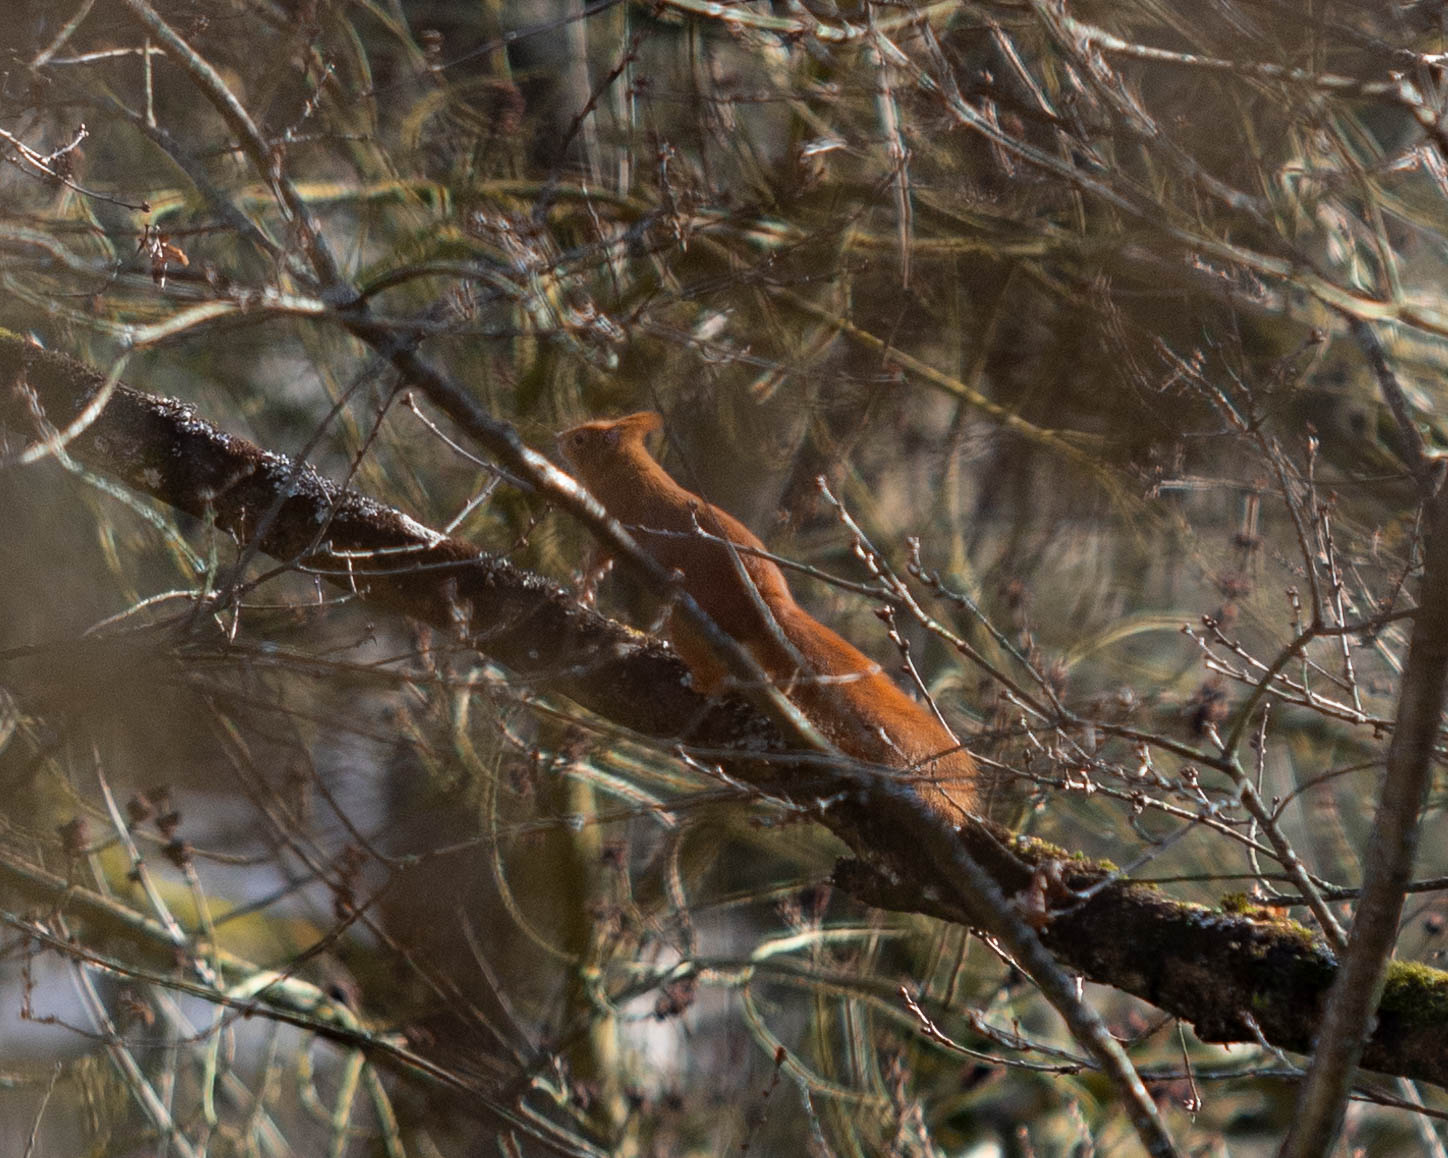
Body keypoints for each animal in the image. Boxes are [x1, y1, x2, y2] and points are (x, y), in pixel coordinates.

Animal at [557, 411, 976, 823]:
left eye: (581, 439)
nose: (558, 437)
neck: (627, 473)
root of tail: (766, 611)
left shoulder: (624, 519)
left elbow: (609, 547)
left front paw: (591, 575)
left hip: (691, 621)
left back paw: (701, 680)